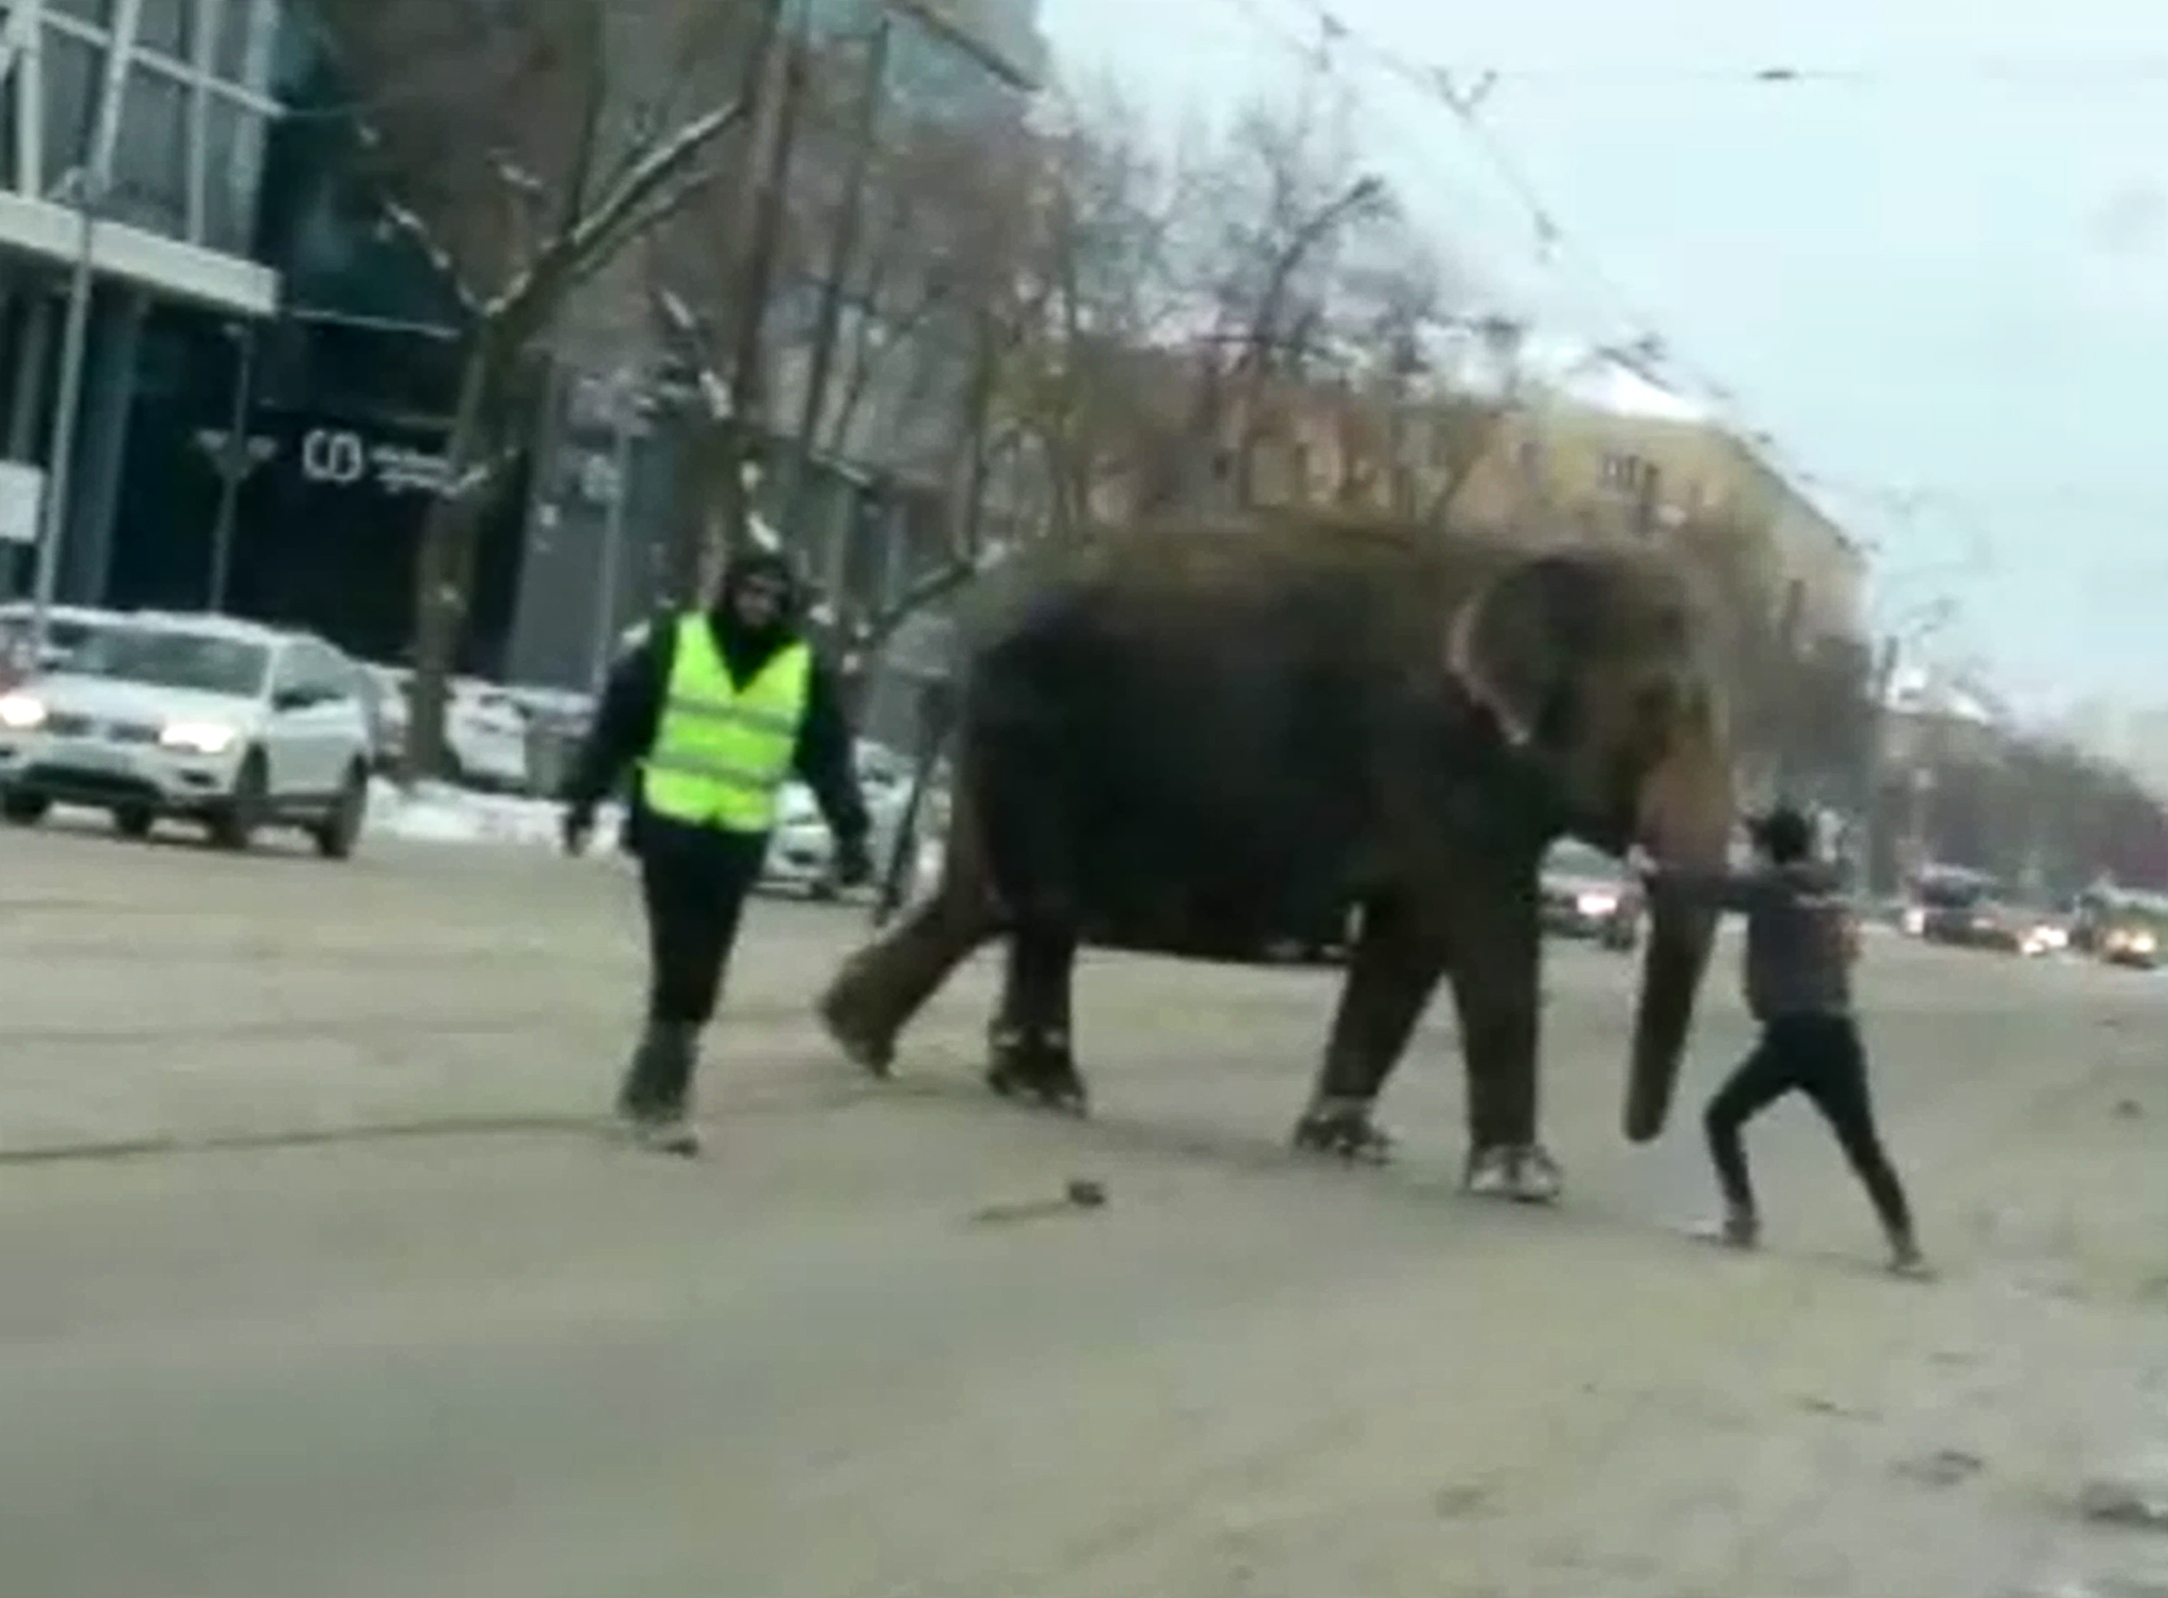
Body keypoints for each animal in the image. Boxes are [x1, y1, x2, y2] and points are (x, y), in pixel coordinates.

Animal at [815, 511, 1743, 1196]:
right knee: (1039, 904)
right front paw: (1524, 1181)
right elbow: (1485, 930)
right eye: (1659, 709)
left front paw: (1348, 1142)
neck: (1528, 563)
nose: (1640, 1136)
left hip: (1008, 746)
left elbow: (1409, 941)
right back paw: (1046, 1089)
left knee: (981, 897)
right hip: (1040, 731)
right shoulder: (1435, 752)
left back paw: (862, 1041)